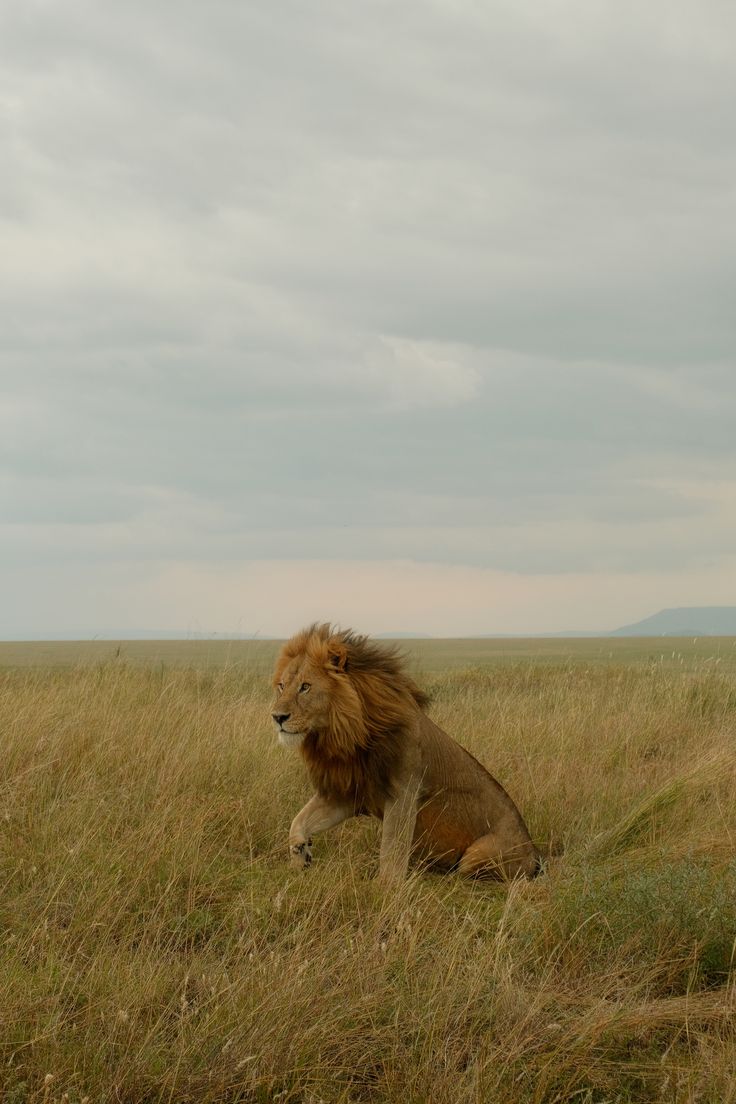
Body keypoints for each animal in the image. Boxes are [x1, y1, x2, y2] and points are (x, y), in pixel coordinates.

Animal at [270, 623, 540, 884]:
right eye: (281, 686)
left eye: (305, 687)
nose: (277, 717)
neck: (347, 734)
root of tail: (536, 857)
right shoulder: (347, 793)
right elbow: (298, 821)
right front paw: (300, 855)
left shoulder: (403, 793)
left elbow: (392, 851)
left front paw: (385, 888)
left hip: (477, 855)